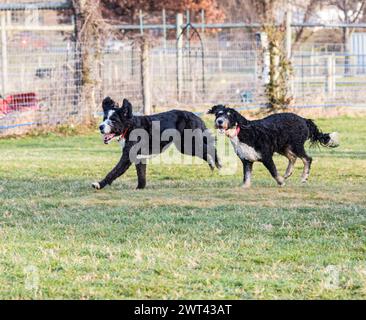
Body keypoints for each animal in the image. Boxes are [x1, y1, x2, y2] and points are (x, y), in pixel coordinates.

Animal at [93, 97, 222, 190]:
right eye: (104, 118)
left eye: (113, 120)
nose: (100, 127)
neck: (130, 126)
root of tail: (196, 116)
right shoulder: (139, 157)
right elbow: (141, 174)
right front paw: (140, 188)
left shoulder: (127, 156)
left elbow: (113, 171)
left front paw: (99, 184)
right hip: (185, 146)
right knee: (205, 151)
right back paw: (212, 165)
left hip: (189, 143)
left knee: (210, 148)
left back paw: (218, 163)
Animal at [207, 105, 338, 188]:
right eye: (218, 114)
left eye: (229, 115)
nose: (219, 121)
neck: (242, 132)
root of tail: (303, 119)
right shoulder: (246, 160)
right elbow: (246, 176)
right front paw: (245, 186)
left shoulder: (266, 157)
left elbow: (273, 172)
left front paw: (281, 182)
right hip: (283, 147)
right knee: (292, 158)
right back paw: (287, 173)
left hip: (296, 145)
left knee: (307, 159)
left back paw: (303, 177)